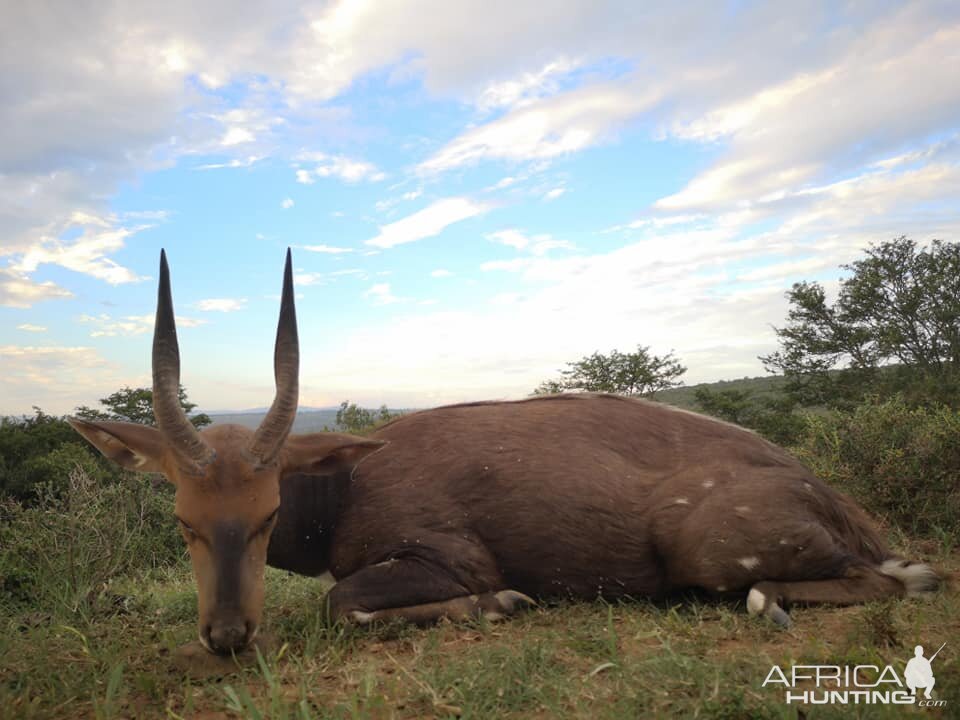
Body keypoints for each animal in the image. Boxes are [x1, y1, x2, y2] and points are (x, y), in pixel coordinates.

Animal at [71, 250, 940, 656]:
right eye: (183, 519)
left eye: (267, 513)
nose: (226, 636)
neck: (348, 484)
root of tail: (828, 496)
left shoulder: (447, 557)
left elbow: (341, 601)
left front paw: (505, 603)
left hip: (709, 550)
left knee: (886, 581)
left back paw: (781, 603)